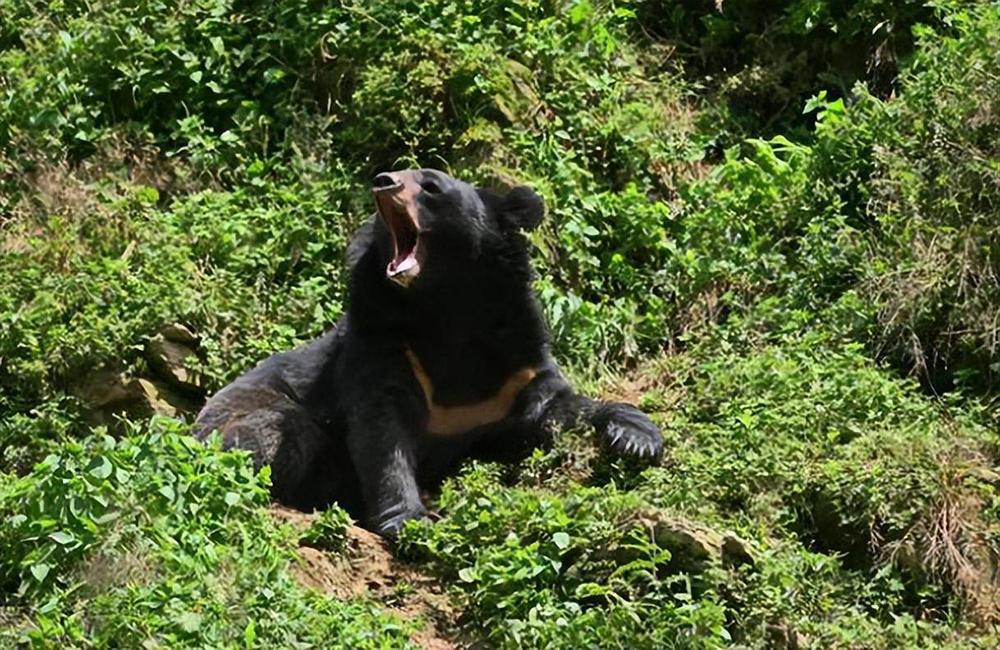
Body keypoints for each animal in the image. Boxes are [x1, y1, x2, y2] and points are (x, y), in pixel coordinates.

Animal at [194, 168, 664, 536]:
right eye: (396, 176)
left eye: (431, 185)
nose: (382, 182)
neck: (443, 303)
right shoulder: (385, 349)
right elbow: (381, 435)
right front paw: (410, 519)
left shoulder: (514, 366)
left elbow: (556, 407)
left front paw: (636, 438)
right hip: (239, 420)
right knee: (277, 433)